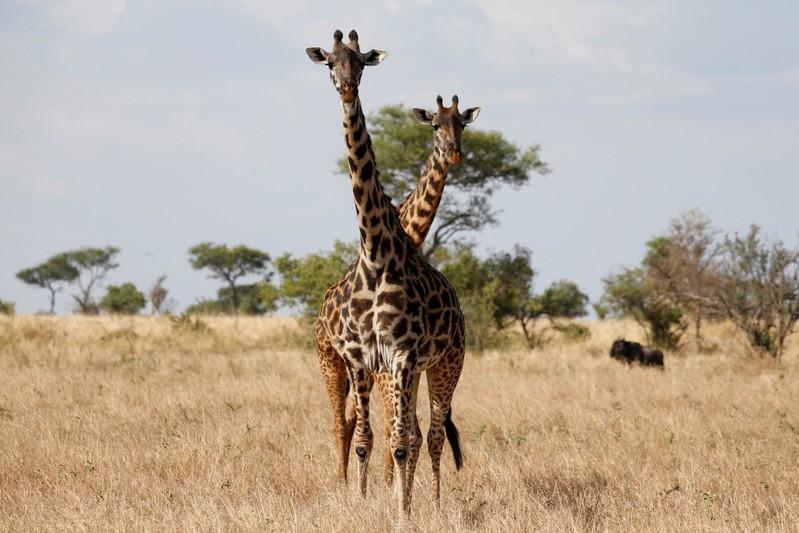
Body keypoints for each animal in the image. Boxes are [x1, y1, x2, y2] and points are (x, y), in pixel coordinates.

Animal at [306, 30, 468, 514]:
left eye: (361, 61)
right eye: (330, 62)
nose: (346, 89)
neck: (378, 252)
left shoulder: (402, 358)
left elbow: (401, 440)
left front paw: (403, 510)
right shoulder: (364, 358)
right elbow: (366, 438)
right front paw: (361, 501)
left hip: (448, 362)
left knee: (431, 433)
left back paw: (433, 501)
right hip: (330, 361)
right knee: (344, 424)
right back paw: (347, 483)